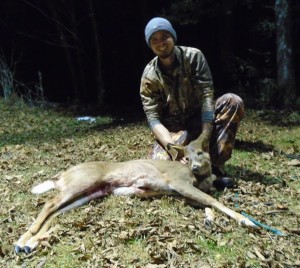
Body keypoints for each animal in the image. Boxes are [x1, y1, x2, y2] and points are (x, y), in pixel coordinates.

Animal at [15, 141, 256, 254]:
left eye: (201, 153)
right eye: (186, 157)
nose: (195, 167)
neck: (201, 178)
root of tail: (62, 175)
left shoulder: (187, 193)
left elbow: (207, 202)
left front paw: (209, 219)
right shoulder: (178, 183)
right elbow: (213, 200)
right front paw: (246, 220)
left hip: (90, 192)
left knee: (55, 212)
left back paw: (26, 243)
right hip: (83, 182)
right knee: (50, 202)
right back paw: (27, 236)